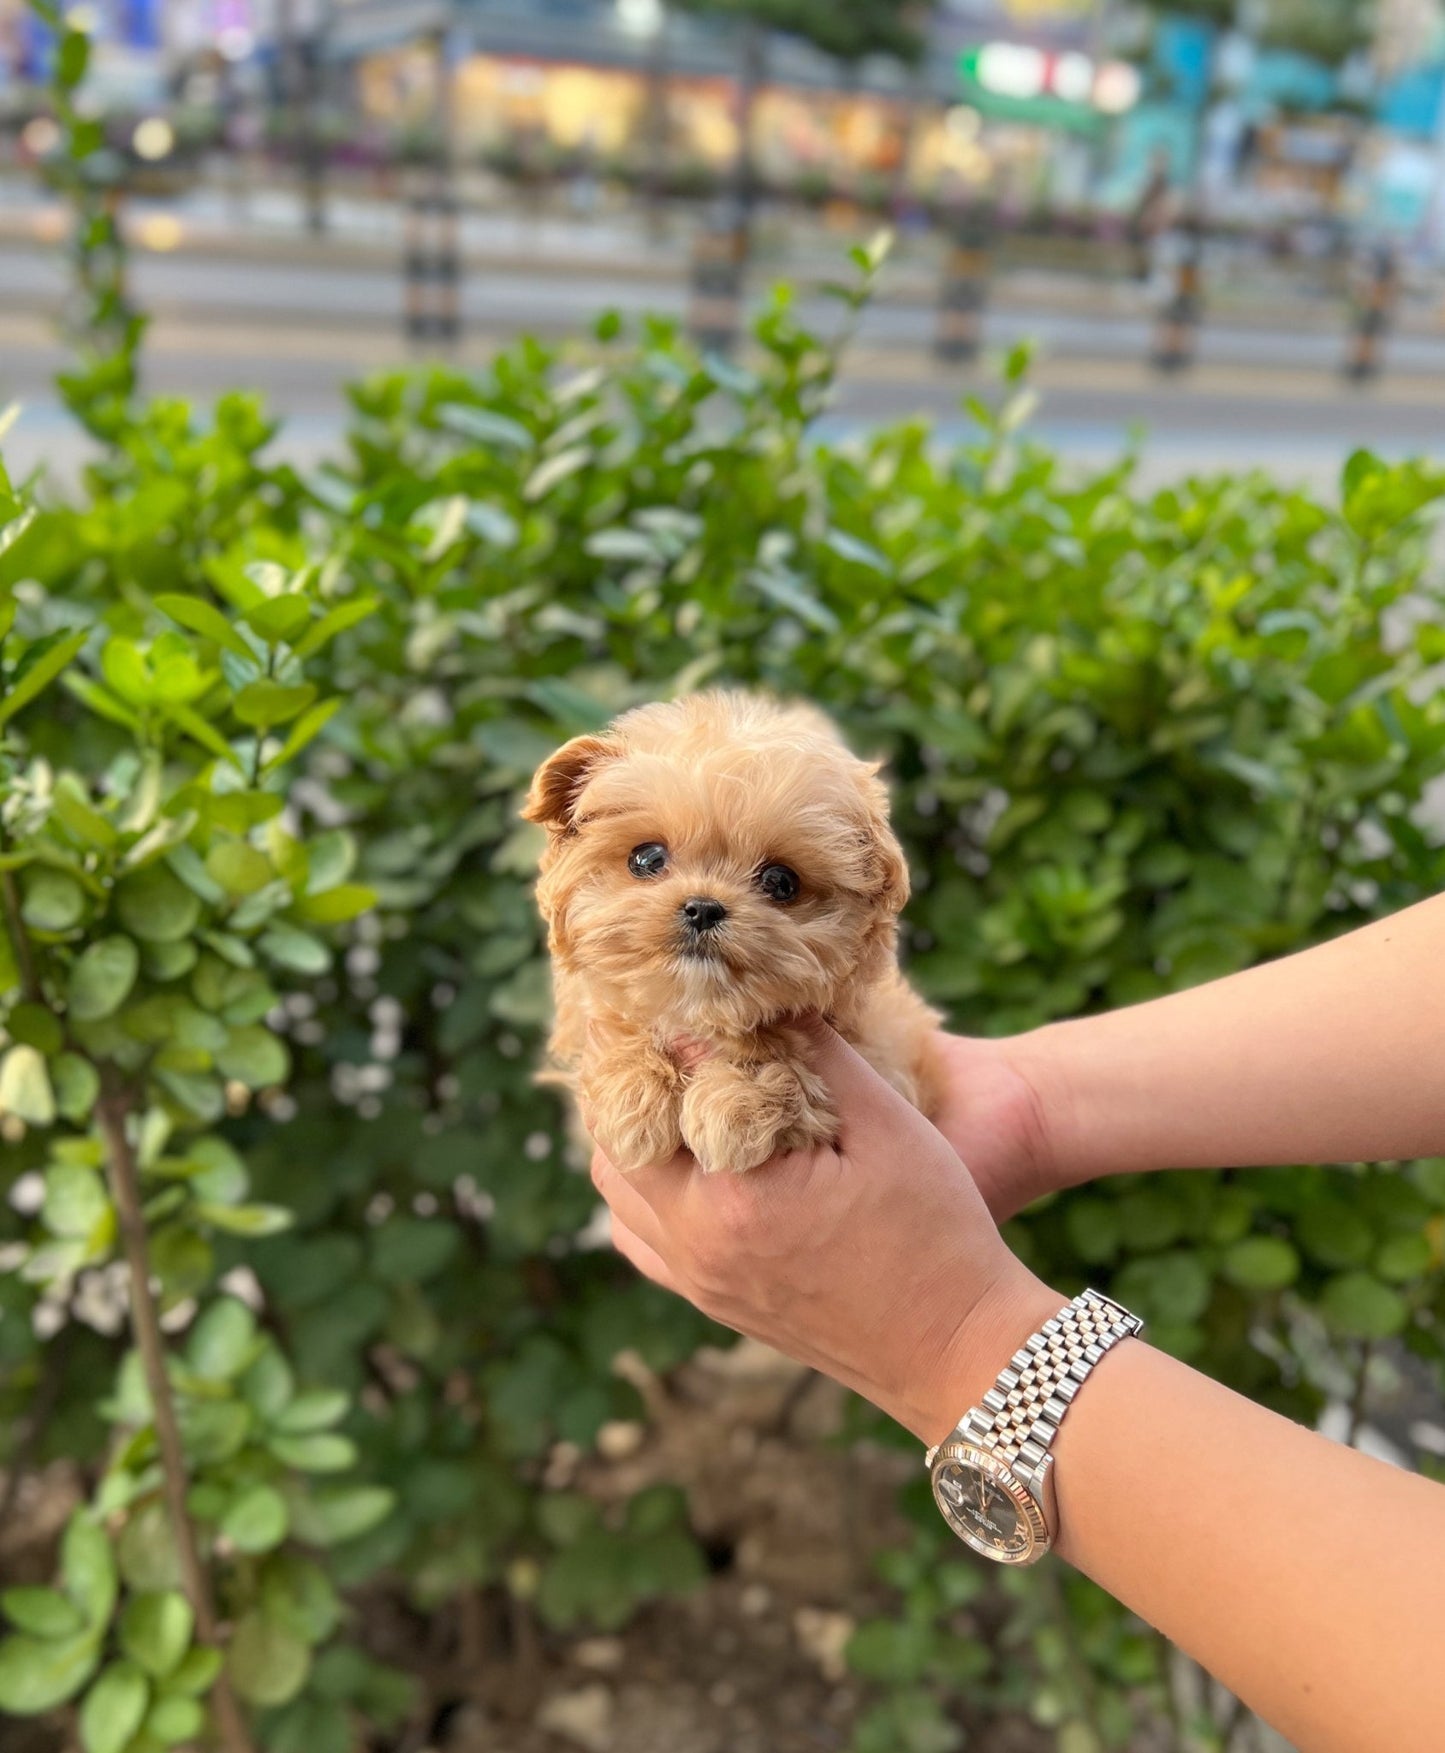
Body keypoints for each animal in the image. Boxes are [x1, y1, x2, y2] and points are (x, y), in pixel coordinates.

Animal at [526, 690, 939, 1171]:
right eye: (646, 859)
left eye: (781, 882)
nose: (703, 908)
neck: (698, 1011)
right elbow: (616, 1020)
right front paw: (632, 1094)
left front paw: (739, 1098)